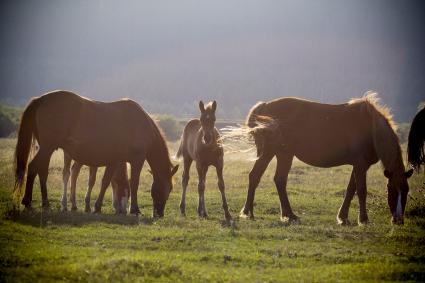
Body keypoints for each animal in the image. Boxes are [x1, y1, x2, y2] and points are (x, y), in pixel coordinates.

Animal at [14, 91, 178, 217]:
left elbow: (106, 182)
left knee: (42, 171)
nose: (159, 214)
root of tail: (40, 99)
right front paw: (134, 209)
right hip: (47, 148)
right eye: (168, 188)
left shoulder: (114, 161)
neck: (140, 124)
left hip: (47, 149)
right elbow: (133, 183)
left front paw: (97, 207)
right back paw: (28, 202)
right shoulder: (137, 160)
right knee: (33, 167)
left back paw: (46, 203)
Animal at [238, 93, 410, 226]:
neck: (371, 128)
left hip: (280, 154)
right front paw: (363, 220)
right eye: (391, 190)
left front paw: (343, 218)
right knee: (266, 178)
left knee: (268, 178)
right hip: (275, 153)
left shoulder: (360, 166)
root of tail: (264, 106)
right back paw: (265, 213)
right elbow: (361, 190)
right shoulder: (361, 165)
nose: (398, 220)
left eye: (406, 191)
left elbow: (350, 189)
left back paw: (274, 214)